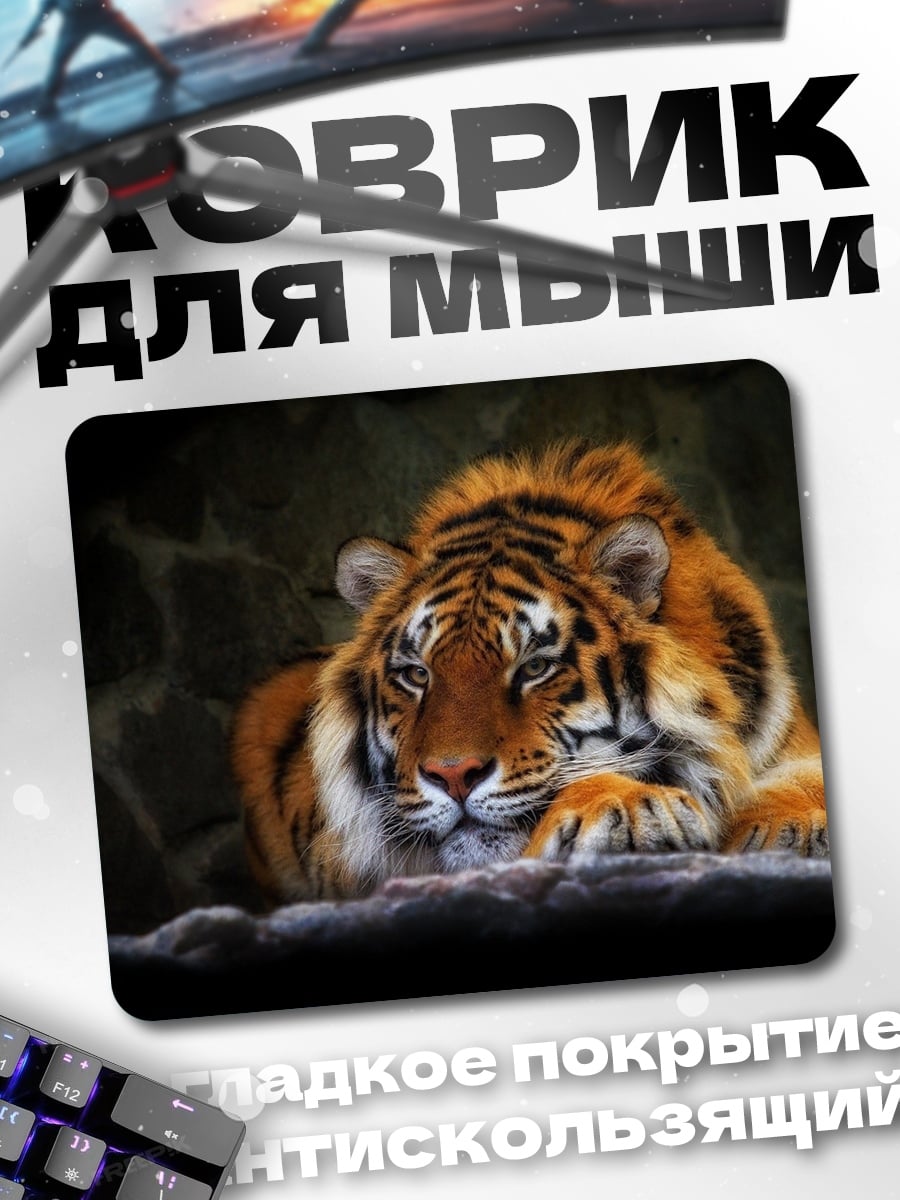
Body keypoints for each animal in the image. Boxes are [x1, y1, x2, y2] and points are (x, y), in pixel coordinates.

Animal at [231, 440, 827, 905]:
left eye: (535, 667)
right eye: (417, 676)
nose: (452, 776)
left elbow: (806, 776)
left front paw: (789, 827)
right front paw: (630, 805)